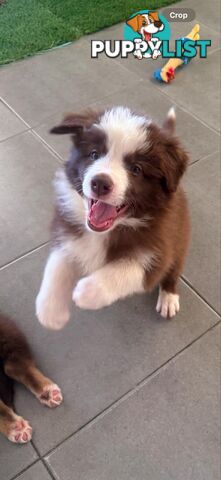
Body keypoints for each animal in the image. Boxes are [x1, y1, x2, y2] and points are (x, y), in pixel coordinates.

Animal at [35, 107, 190, 330]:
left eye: (136, 169)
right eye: (94, 154)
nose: (100, 183)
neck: (104, 232)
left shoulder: (160, 248)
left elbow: (126, 271)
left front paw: (88, 292)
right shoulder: (67, 230)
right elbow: (57, 265)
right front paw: (51, 311)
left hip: (180, 238)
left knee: (173, 271)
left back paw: (169, 297)